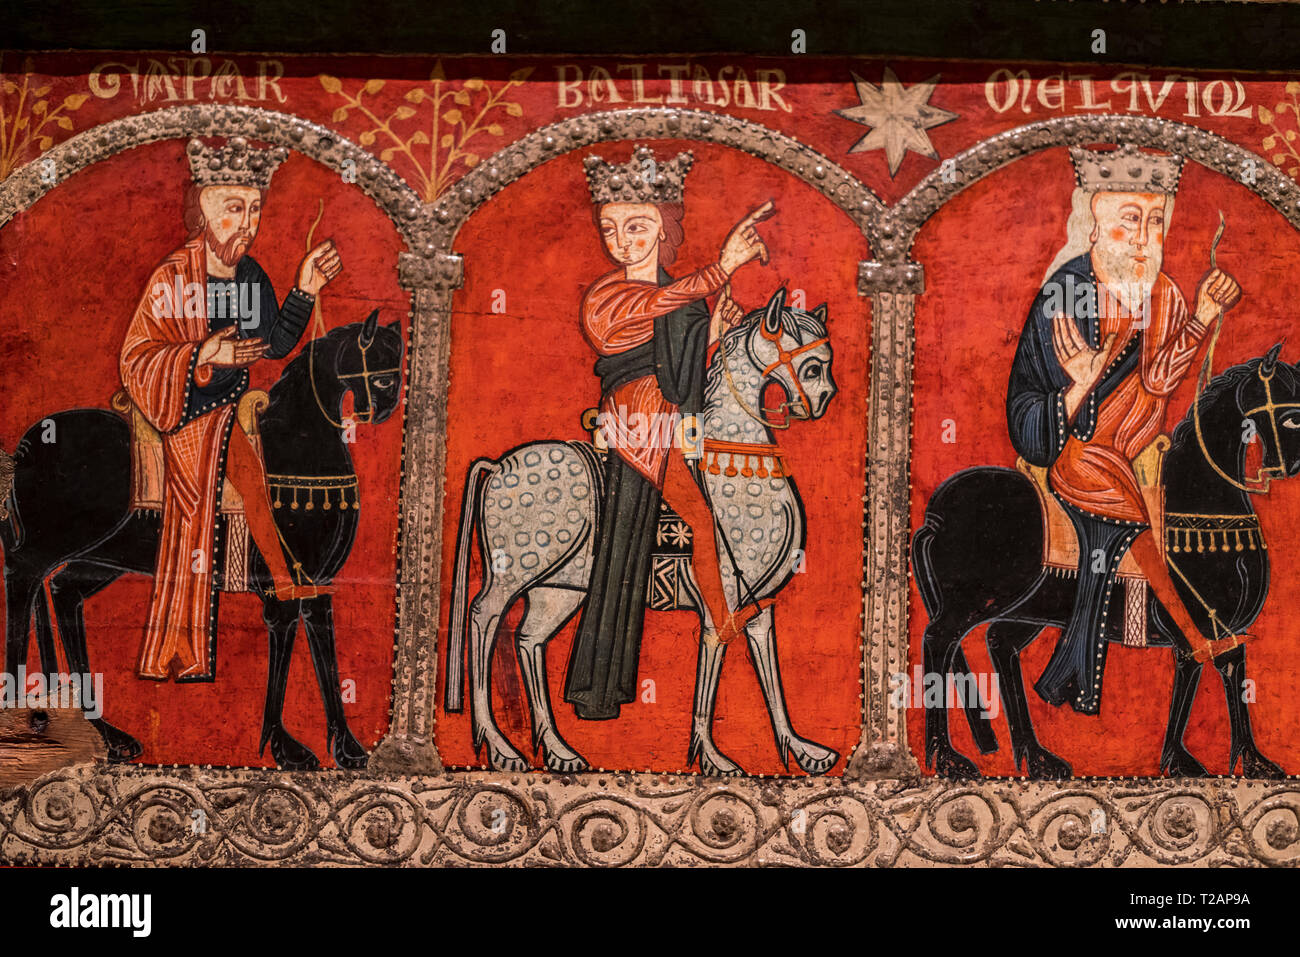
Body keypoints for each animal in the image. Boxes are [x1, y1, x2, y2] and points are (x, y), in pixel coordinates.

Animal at [0, 312, 403, 769]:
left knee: (64, 592)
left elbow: (325, 648)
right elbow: (284, 636)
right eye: (379, 365)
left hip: (102, 557)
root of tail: (28, 444)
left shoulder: (316, 583)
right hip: (50, 546)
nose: (384, 409)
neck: (296, 449)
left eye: (397, 362)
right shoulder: (280, 582)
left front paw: (347, 747)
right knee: (22, 579)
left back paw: (105, 733)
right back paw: (21, 717)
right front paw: (282, 745)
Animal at [447, 287, 842, 774]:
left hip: (560, 587)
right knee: (483, 617)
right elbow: (711, 665)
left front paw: (801, 749)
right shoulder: (721, 600)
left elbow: (771, 678)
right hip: (513, 572)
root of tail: (499, 464)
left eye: (824, 360)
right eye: (811, 364)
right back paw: (499, 744)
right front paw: (711, 757)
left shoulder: (758, 606)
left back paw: (558, 749)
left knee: (529, 638)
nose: (823, 399)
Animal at [915, 348, 1300, 780]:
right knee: (939, 641)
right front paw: (1180, 761)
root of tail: (936, 514)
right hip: (970, 604)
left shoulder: (1227, 628)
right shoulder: (1191, 624)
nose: (1291, 467)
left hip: (1030, 608)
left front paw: (1253, 760)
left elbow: (1233, 670)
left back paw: (1037, 757)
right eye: (1291, 417)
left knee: (999, 642)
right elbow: (1192, 670)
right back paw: (947, 757)